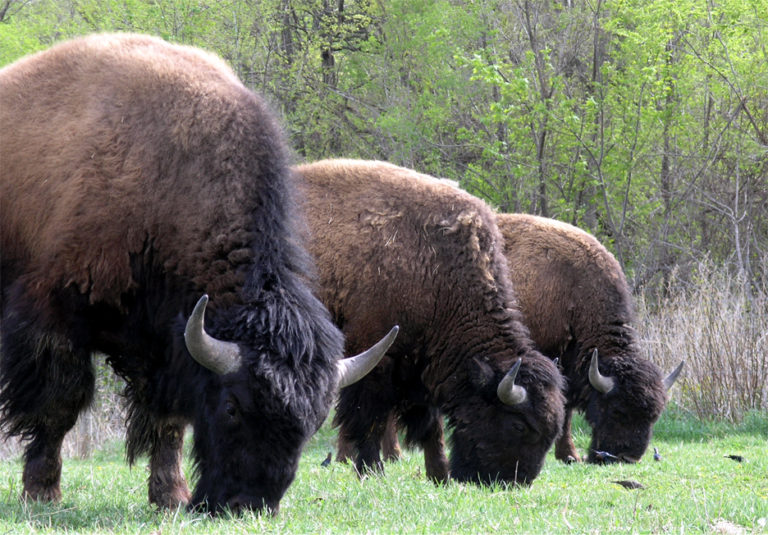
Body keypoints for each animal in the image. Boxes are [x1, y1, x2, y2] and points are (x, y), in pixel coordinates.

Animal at [0, 34, 396, 516]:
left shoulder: (165, 346)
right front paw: (42, 492)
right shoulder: (53, 320)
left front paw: (170, 496)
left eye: (312, 422)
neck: (165, 180)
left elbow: (168, 421)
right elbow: (58, 406)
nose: (248, 503)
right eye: (232, 408)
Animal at [292, 158, 564, 486]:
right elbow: (369, 418)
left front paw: (440, 475)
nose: (515, 481)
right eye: (519, 425)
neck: (438, 273)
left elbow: (432, 427)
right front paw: (371, 470)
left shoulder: (424, 367)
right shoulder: (375, 358)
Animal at [496, 214, 680, 464]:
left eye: (654, 416)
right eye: (618, 410)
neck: (573, 290)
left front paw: (569, 455)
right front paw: (569, 454)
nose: (628, 457)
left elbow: (566, 410)